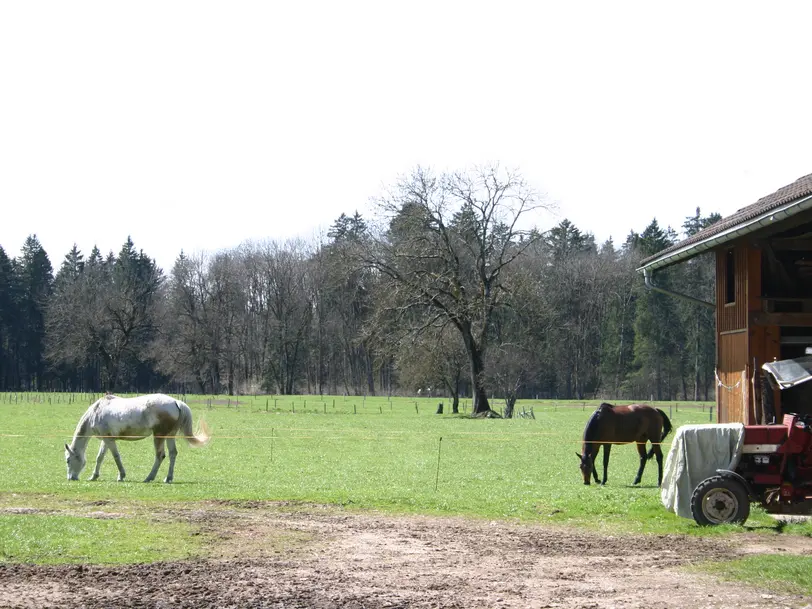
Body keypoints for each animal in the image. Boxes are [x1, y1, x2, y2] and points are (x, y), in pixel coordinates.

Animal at [65, 394, 209, 484]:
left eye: (68, 460)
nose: (70, 478)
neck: (96, 412)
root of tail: (176, 402)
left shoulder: (109, 440)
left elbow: (116, 456)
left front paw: (121, 476)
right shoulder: (106, 440)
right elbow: (100, 457)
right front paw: (93, 476)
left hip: (159, 436)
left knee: (160, 455)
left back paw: (149, 478)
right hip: (170, 436)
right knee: (173, 454)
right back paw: (168, 478)